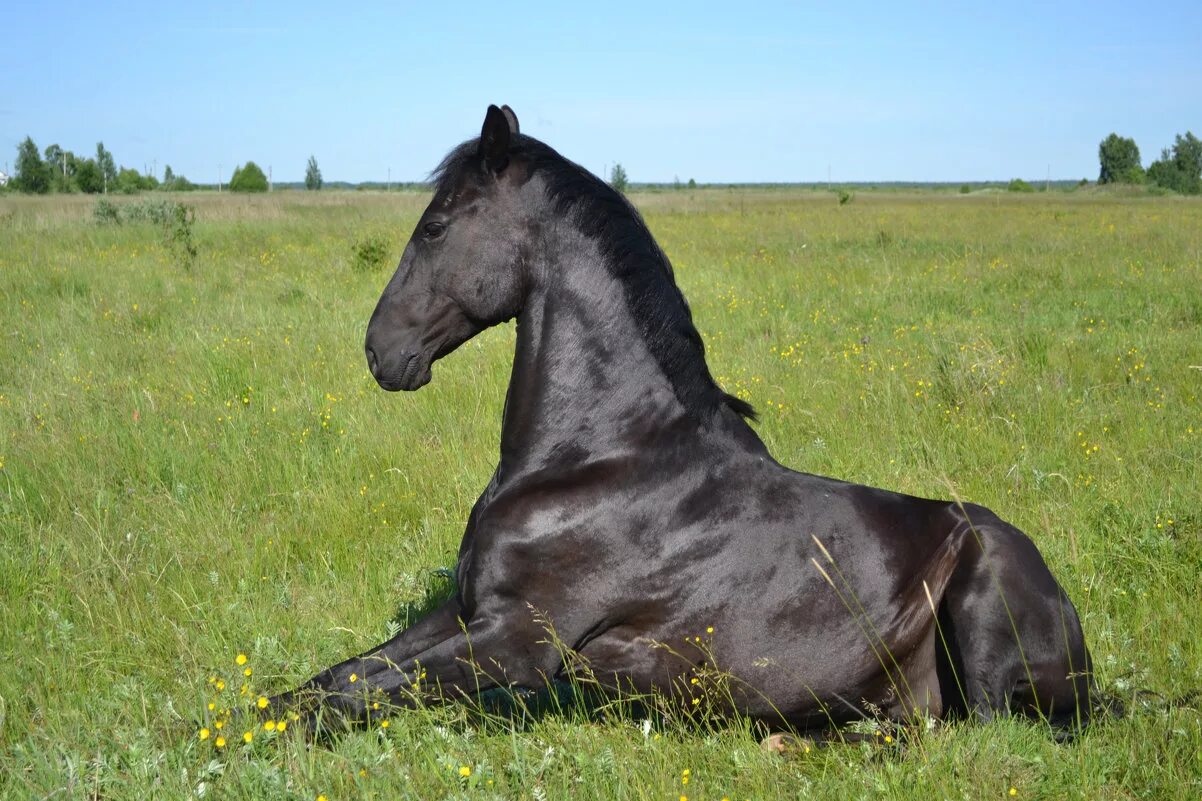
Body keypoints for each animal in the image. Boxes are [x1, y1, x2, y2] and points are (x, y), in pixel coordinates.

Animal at [268, 104, 1096, 736]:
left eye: (437, 226)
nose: (381, 350)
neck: (603, 458)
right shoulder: (466, 611)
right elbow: (328, 679)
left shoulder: (513, 642)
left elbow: (348, 696)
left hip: (983, 607)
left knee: (977, 732)